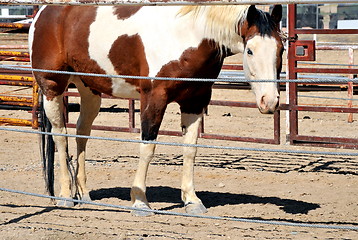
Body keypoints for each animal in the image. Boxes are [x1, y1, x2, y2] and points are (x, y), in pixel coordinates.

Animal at [29, 4, 284, 216]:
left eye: (281, 49)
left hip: (89, 89)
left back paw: (84, 195)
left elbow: (190, 149)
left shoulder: (195, 101)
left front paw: (192, 201)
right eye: (250, 51)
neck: (186, 35)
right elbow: (148, 147)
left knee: (82, 133)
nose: (270, 101)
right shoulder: (154, 99)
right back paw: (65, 197)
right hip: (52, 87)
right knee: (60, 135)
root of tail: (43, 12)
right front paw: (140, 201)